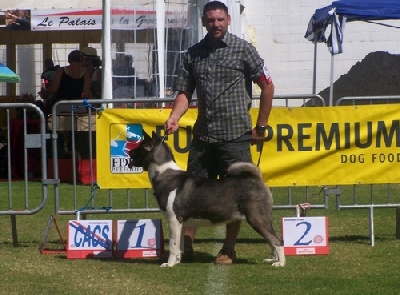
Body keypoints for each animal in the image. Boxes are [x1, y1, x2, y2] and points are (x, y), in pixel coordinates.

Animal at [128, 132, 284, 268]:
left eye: (140, 147)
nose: (128, 151)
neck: (164, 173)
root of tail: (257, 179)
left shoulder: (173, 220)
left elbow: (173, 245)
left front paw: (169, 264)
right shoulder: (180, 223)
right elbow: (179, 246)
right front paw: (177, 261)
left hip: (257, 218)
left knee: (277, 241)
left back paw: (280, 263)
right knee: (272, 240)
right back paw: (273, 259)